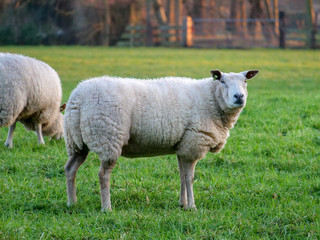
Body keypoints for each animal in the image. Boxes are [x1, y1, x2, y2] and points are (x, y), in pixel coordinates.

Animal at [63, 68, 258, 211]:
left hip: (76, 142)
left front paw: (182, 204)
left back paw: (72, 203)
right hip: (108, 137)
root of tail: (78, 97)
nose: (239, 97)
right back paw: (106, 208)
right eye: (222, 81)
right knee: (103, 175)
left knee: (70, 168)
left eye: (245, 82)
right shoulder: (193, 143)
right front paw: (192, 206)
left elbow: (182, 175)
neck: (211, 99)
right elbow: (189, 177)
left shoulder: (183, 145)